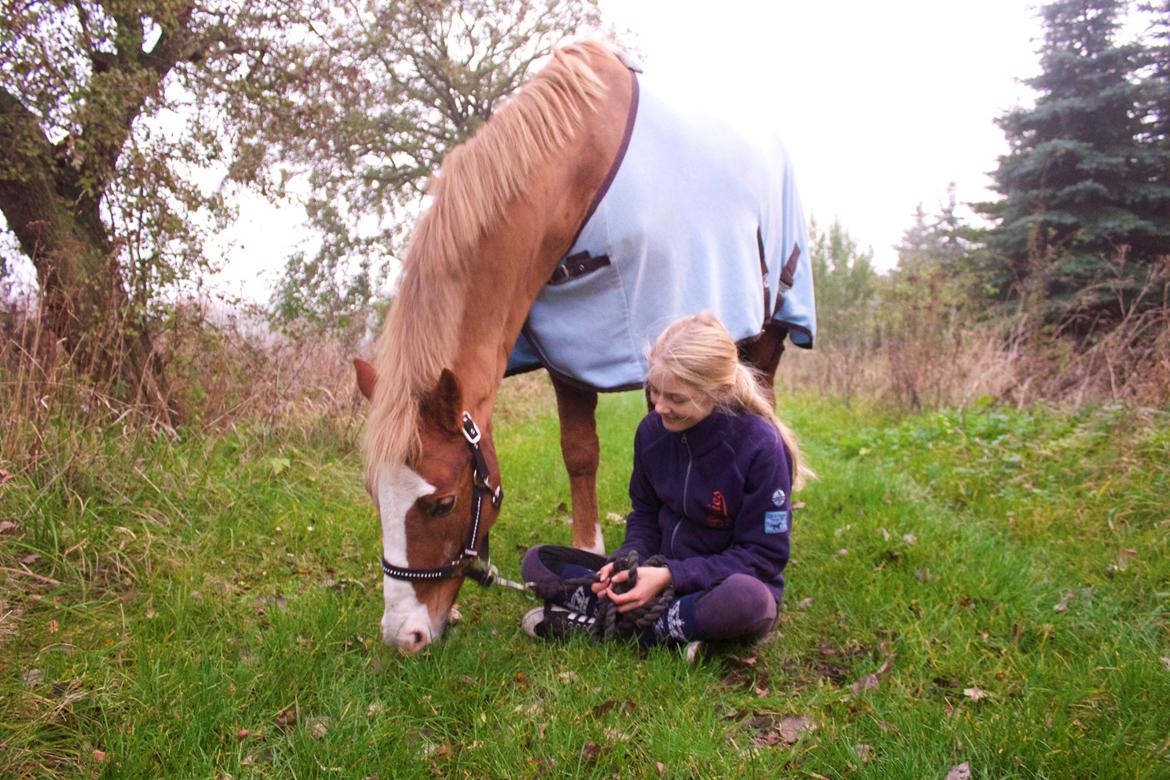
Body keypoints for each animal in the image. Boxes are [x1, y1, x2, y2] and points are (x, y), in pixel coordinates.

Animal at [351, 42, 819, 654]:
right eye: (374, 493)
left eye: (443, 503)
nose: (402, 635)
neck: (578, 171)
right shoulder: (569, 352)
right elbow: (579, 451)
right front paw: (592, 557)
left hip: (771, 328)